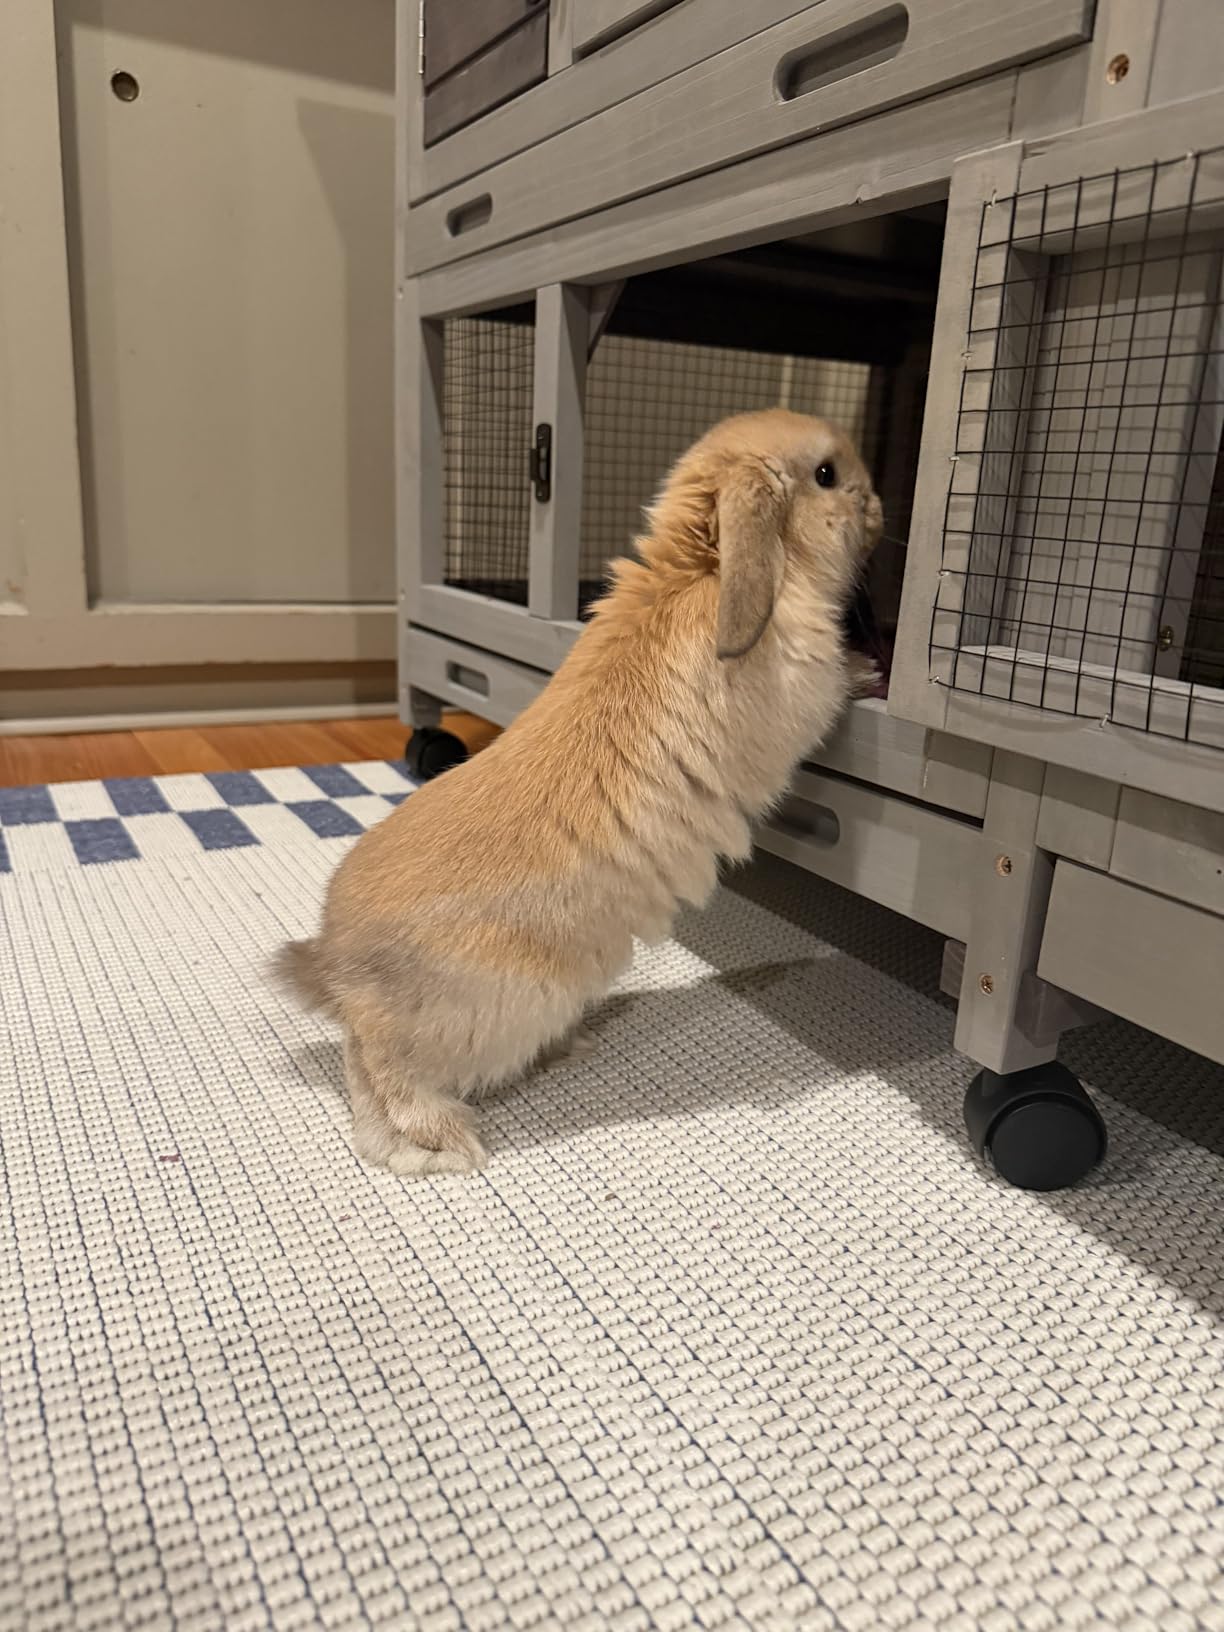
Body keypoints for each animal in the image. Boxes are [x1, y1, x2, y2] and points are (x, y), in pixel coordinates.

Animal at [275, 408, 883, 1176]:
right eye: (828, 474)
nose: (879, 507)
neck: (704, 574)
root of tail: (337, 967)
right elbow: (833, 691)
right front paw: (867, 672)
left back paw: (567, 1048)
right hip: (487, 1015)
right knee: (381, 1071)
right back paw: (443, 1146)